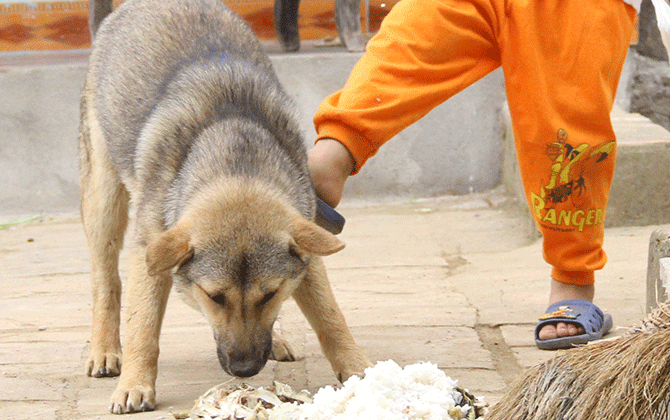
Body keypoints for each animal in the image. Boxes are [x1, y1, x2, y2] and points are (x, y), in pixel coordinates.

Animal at [80, 0, 372, 414]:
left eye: (269, 295)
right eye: (214, 297)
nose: (245, 370)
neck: (235, 162)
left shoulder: (307, 250)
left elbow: (330, 317)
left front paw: (358, 369)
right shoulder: (149, 251)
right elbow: (142, 327)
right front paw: (135, 383)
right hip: (103, 200)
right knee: (106, 283)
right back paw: (105, 350)